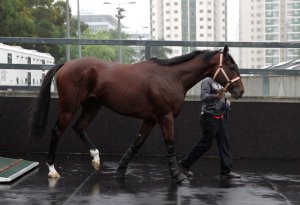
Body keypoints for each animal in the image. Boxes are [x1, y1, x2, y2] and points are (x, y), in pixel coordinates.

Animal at [29, 44, 244, 184]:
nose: (240, 91)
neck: (172, 77)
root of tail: (65, 65)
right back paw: (52, 169)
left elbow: (137, 143)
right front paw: (178, 176)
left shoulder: (150, 119)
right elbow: (170, 145)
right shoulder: (165, 117)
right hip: (69, 107)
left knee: (79, 127)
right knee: (57, 131)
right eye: (231, 67)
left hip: (93, 105)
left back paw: (96, 159)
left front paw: (121, 170)